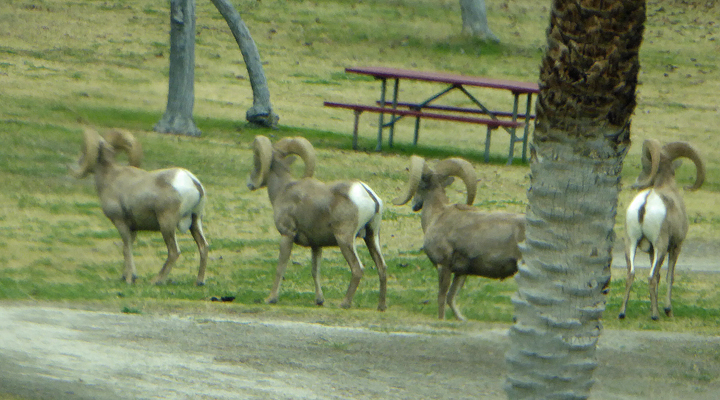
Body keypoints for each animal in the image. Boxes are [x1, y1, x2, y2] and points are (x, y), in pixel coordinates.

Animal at [70, 128, 208, 284]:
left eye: (83, 150)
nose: (78, 162)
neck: (110, 177)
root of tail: (194, 183)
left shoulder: (121, 223)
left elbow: (126, 248)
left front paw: (130, 279)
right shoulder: (133, 227)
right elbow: (128, 248)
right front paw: (126, 276)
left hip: (167, 224)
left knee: (174, 252)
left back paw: (156, 280)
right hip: (196, 221)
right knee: (203, 247)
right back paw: (199, 281)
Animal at [246, 136, 388, 310]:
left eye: (256, 162)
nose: (250, 183)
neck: (283, 190)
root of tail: (368, 194)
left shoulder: (287, 235)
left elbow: (281, 267)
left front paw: (271, 298)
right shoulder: (316, 245)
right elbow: (315, 271)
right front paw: (319, 300)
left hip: (345, 239)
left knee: (357, 269)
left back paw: (344, 303)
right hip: (372, 237)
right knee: (382, 268)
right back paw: (381, 306)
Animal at [396, 155, 524, 320]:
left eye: (419, 185)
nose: (414, 205)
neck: (437, 216)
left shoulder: (443, 266)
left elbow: (442, 297)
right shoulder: (461, 273)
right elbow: (451, 297)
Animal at [616, 139, 704, 320]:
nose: (637, 183)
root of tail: (645, 202)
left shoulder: (650, 251)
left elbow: (658, 276)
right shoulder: (676, 247)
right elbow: (669, 277)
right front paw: (667, 310)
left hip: (630, 243)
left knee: (631, 274)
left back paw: (622, 313)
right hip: (661, 247)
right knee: (650, 277)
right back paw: (655, 316)